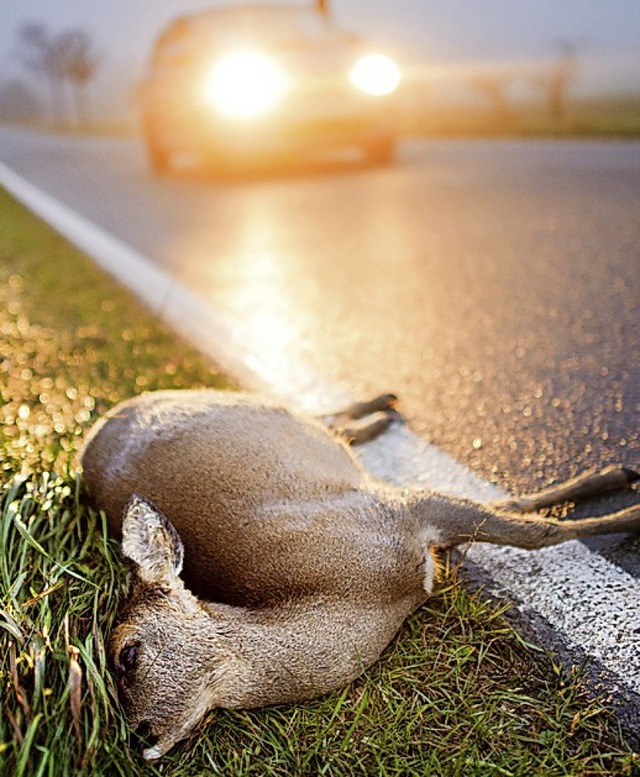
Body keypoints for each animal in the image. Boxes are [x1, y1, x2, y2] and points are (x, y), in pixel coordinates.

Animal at [81, 388, 640, 756]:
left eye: (126, 654)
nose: (141, 737)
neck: (366, 593)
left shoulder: (399, 510)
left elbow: (532, 529)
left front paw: (627, 505)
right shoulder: (407, 515)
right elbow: (515, 515)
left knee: (321, 414)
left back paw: (383, 407)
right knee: (328, 420)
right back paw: (381, 412)